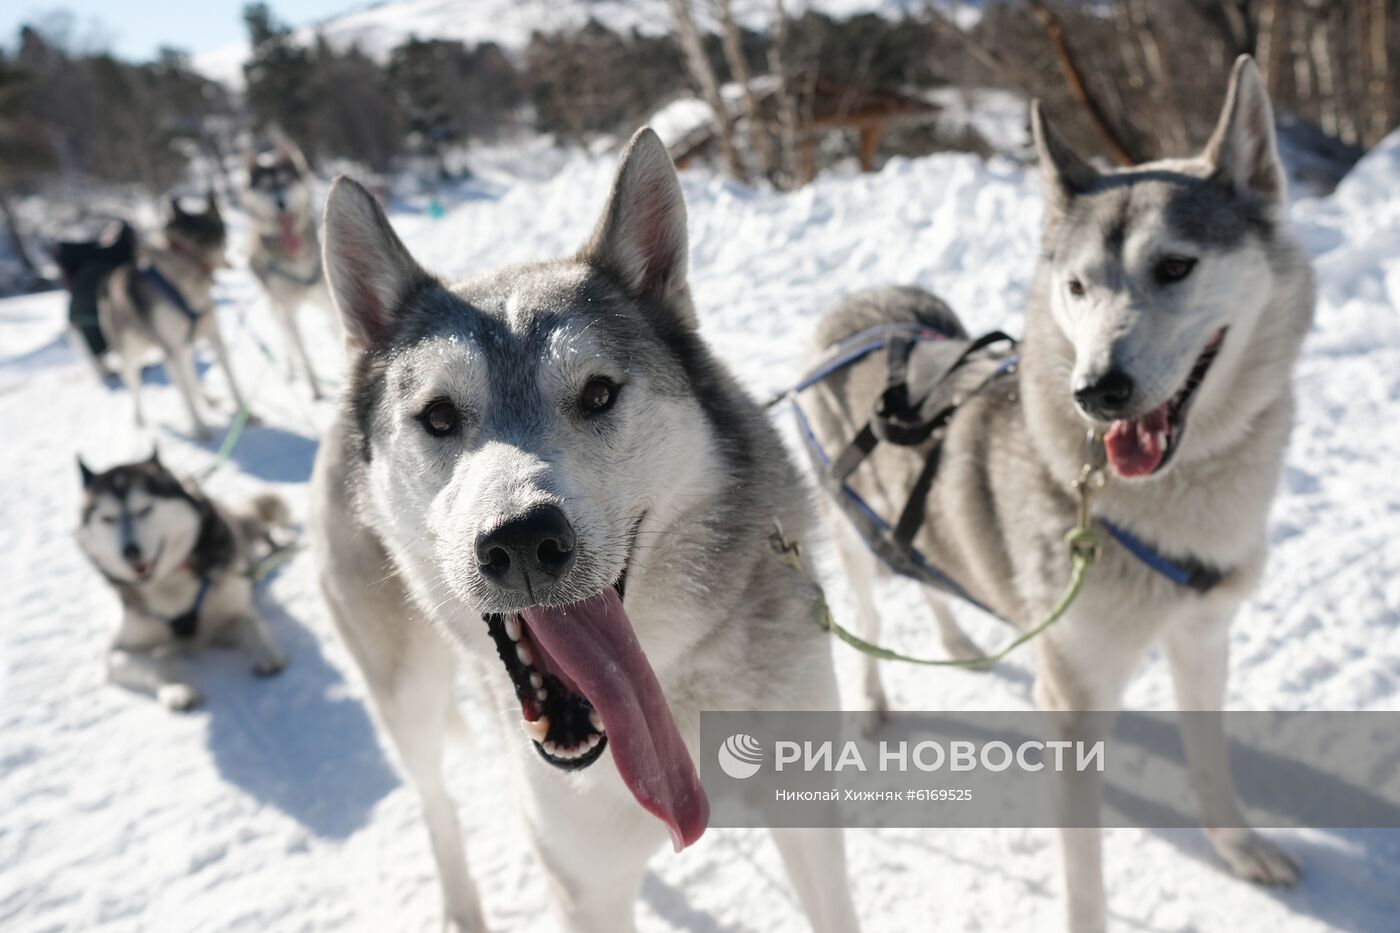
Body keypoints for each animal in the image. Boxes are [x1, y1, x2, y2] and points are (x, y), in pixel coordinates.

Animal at [76, 453, 289, 708]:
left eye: (145, 509)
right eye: (108, 518)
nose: (130, 553)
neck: (168, 583)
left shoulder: (223, 618)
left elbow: (250, 623)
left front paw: (265, 654)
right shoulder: (116, 651)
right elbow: (149, 664)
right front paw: (176, 690)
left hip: (241, 530)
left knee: (258, 523)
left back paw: (276, 543)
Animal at [94, 193, 253, 439]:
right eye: (223, 240)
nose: (232, 263)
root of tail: (109, 282)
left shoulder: (213, 338)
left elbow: (230, 380)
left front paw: (246, 414)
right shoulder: (172, 350)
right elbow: (185, 395)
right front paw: (200, 428)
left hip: (182, 347)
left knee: (189, 376)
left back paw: (206, 399)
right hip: (135, 353)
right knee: (135, 382)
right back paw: (140, 418)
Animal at [315, 125, 862, 930]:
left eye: (598, 393)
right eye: (439, 416)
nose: (521, 539)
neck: (665, 693)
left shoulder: (808, 824)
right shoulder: (588, 882)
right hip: (406, 699)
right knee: (436, 803)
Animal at [800, 58, 1310, 930]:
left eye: (1176, 266)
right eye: (1076, 286)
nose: (1096, 390)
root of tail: (860, 308)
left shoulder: (1203, 637)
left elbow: (1210, 763)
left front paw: (1237, 846)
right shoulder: (1072, 697)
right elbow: (1084, 878)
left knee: (920, 564)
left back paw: (959, 640)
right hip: (849, 526)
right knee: (868, 610)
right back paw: (870, 699)